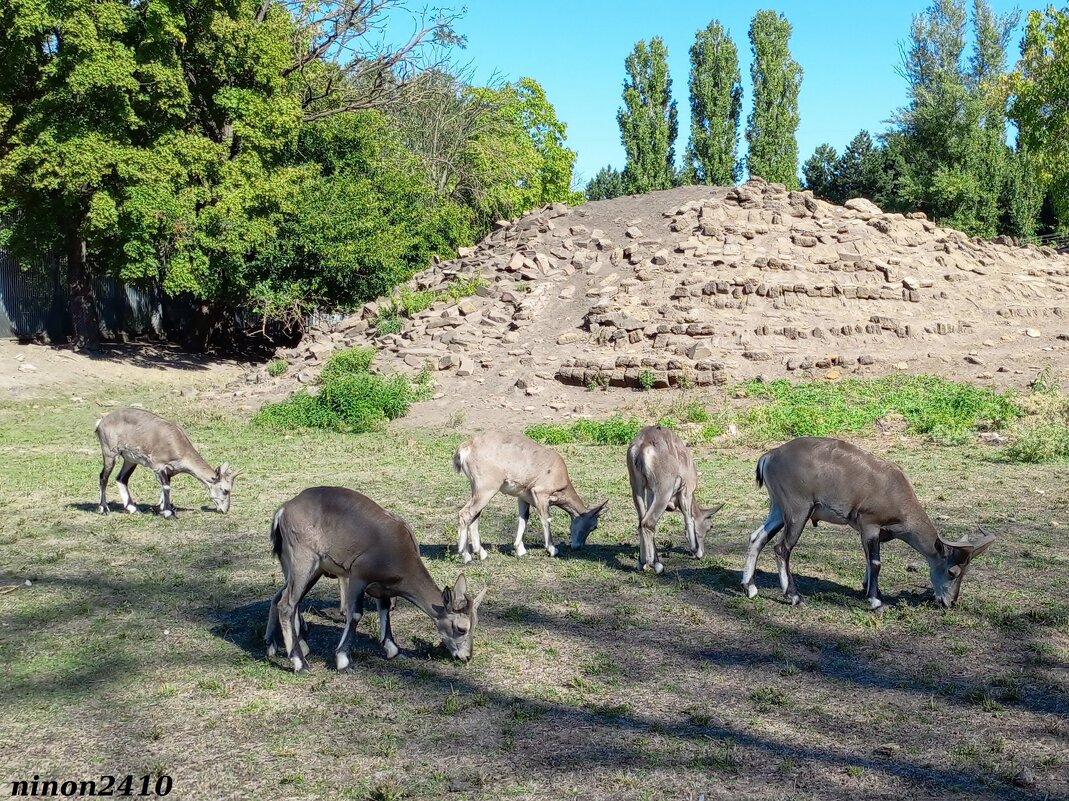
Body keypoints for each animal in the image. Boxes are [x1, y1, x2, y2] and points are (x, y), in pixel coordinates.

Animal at [94, 408, 238, 515]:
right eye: (226, 490)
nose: (225, 509)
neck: (179, 446)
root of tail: (101, 422)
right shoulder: (159, 465)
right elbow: (166, 486)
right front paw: (168, 512)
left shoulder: (169, 469)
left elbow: (166, 485)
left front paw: (163, 508)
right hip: (109, 453)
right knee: (103, 477)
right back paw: (103, 508)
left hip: (130, 459)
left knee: (121, 478)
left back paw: (132, 508)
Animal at [265, 487, 487, 667]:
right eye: (461, 628)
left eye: (475, 624)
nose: (466, 656)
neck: (396, 552)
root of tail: (282, 511)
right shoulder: (357, 575)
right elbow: (355, 614)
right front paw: (343, 658)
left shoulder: (384, 586)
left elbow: (385, 609)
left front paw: (392, 649)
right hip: (303, 561)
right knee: (287, 604)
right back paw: (299, 661)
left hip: (304, 567)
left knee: (283, 598)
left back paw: (280, 646)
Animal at [453, 434, 611, 560]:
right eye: (594, 526)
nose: (578, 546)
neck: (558, 471)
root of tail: (468, 447)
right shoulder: (540, 494)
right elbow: (546, 519)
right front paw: (552, 549)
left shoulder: (523, 497)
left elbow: (524, 518)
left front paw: (520, 549)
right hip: (487, 489)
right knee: (466, 514)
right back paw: (466, 555)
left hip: (476, 489)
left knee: (475, 516)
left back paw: (481, 553)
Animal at [624, 425, 726, 568]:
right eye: (710, 526)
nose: (702, 551)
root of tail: (643, 445)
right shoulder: (686, 491)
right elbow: (689, 519)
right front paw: (695, 550)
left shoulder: (650, 491)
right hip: (664, 490)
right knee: (648, 523)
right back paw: (656, 565)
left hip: (637, 487)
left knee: (642, 521)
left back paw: (642, 563)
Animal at [744, 438, 992, 607]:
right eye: (952, 572)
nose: (950, 602)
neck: (894, 491)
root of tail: (770, 456)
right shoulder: (870, 523)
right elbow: (875, 562)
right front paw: (876, 601)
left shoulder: (871, 532)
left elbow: (867, 557)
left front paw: (868, 589)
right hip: (798, 510)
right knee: (782, 547)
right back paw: (795, 596)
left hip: (778, 508)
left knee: (758, 537)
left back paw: (750, 588)